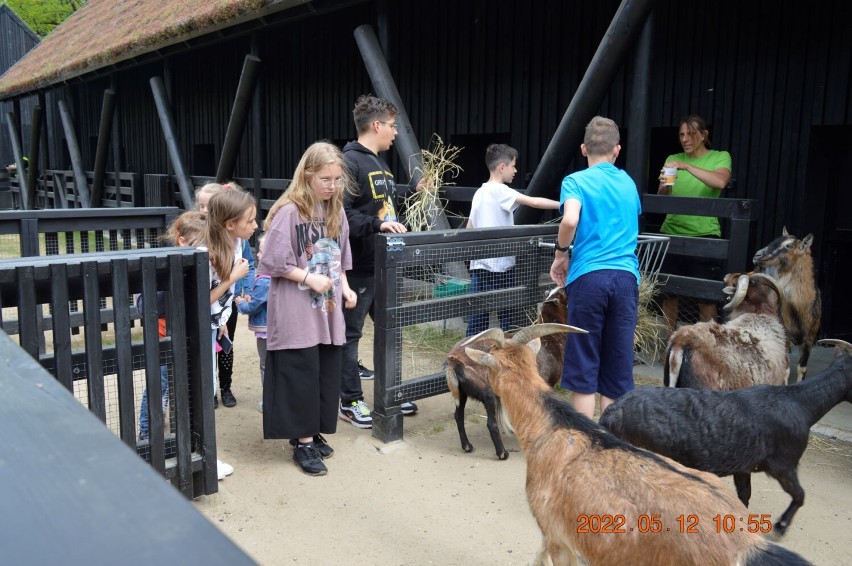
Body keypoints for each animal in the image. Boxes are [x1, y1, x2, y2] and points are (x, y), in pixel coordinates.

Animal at [756, 227, 824, 382]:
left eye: (788, 245)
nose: (758, 255)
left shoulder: (810, 337)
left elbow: (802, 368)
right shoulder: (785, 335)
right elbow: (785, 370)